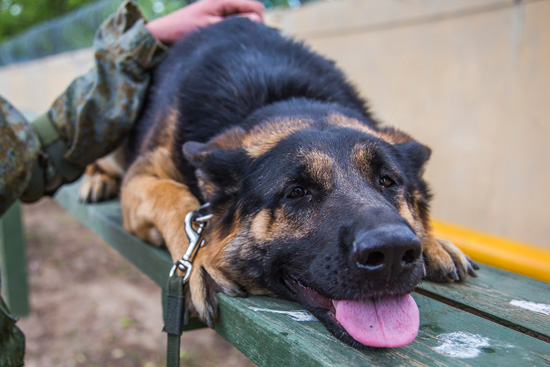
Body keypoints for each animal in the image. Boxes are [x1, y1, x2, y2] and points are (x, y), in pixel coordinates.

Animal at [81, 18, 478, 350]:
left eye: (388, 181)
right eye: (297, 192)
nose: (394, 252)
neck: (283, 99)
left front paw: (435, 242)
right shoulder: (141, 176)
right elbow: (175, 197)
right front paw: (200, 256)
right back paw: (96, 179)